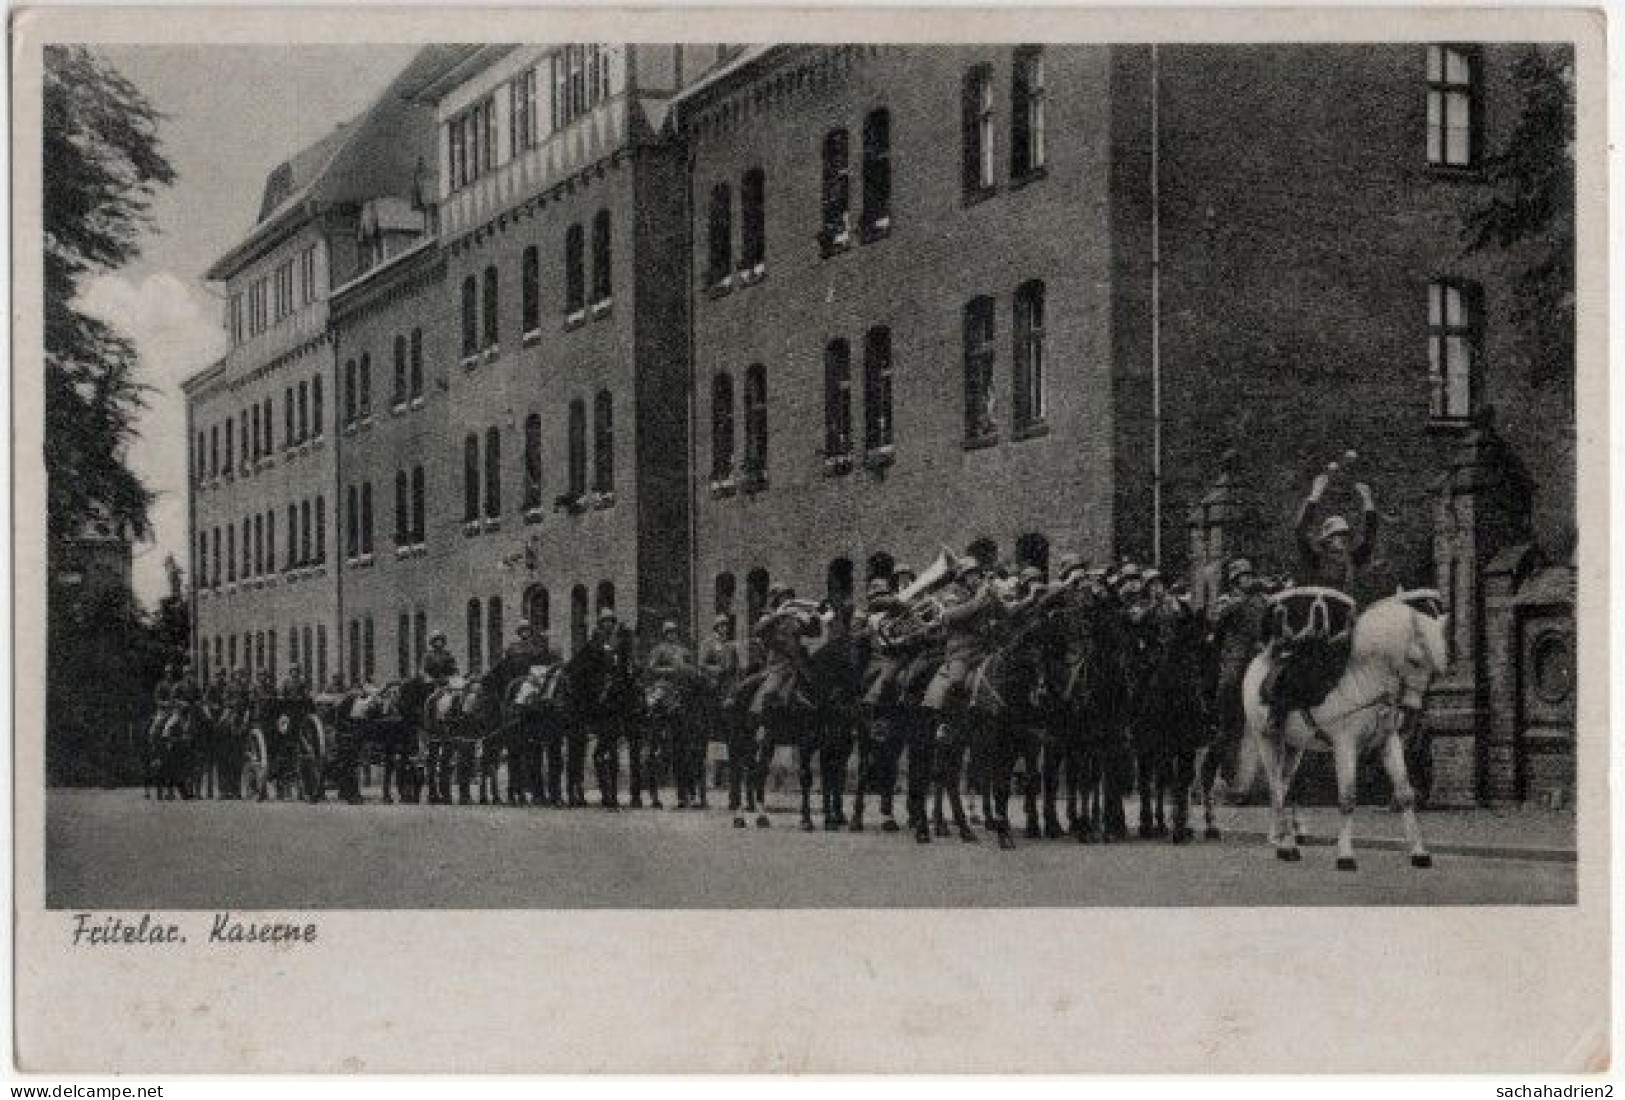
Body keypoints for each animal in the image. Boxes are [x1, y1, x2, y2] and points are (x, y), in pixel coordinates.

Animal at [1235, 588, 1456, 870]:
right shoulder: (1345, 745)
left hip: (1294, 746)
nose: (1411, 709)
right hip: (1267, 739)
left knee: (1283, 786)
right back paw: (1287, 847)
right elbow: (1348, 798)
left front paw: (1419, 853)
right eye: (1415, 660)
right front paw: (1345, 856)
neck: (1365, 680)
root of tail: (1261, 661)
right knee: (1276, 788)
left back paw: (1280, 840)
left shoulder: (1388, 741)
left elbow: (1406, 794)